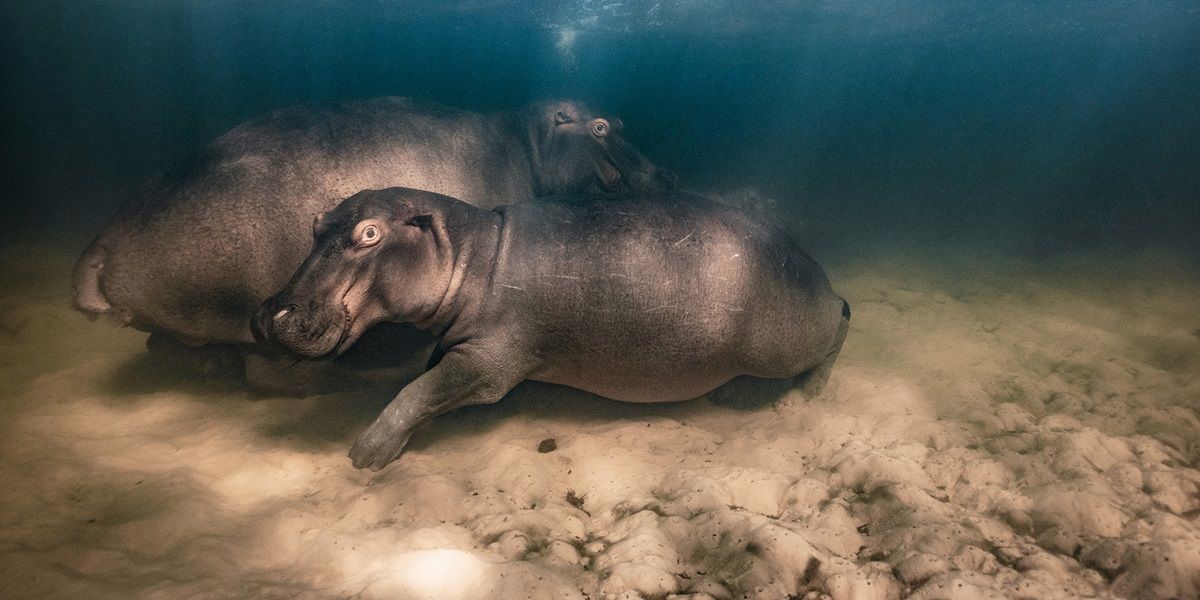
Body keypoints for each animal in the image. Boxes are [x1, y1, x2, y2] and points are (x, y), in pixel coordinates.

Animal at [72, 95, 676, 384]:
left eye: (620, 121)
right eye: (602, 126)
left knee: (171, 347)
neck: (526, 142)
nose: (667, 178)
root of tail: (101, 247)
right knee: (272, 373)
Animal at [255, 187, 854, 468]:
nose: (268, 313)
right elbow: (423, 378)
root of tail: (816, 269)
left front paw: (366, 453)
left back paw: (807, 395)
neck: (472, 254)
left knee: (841, 323)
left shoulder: (489, 363)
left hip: (786, 341)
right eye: (315, 223)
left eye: (370, 233)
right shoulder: (456, 343)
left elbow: (419, 391)